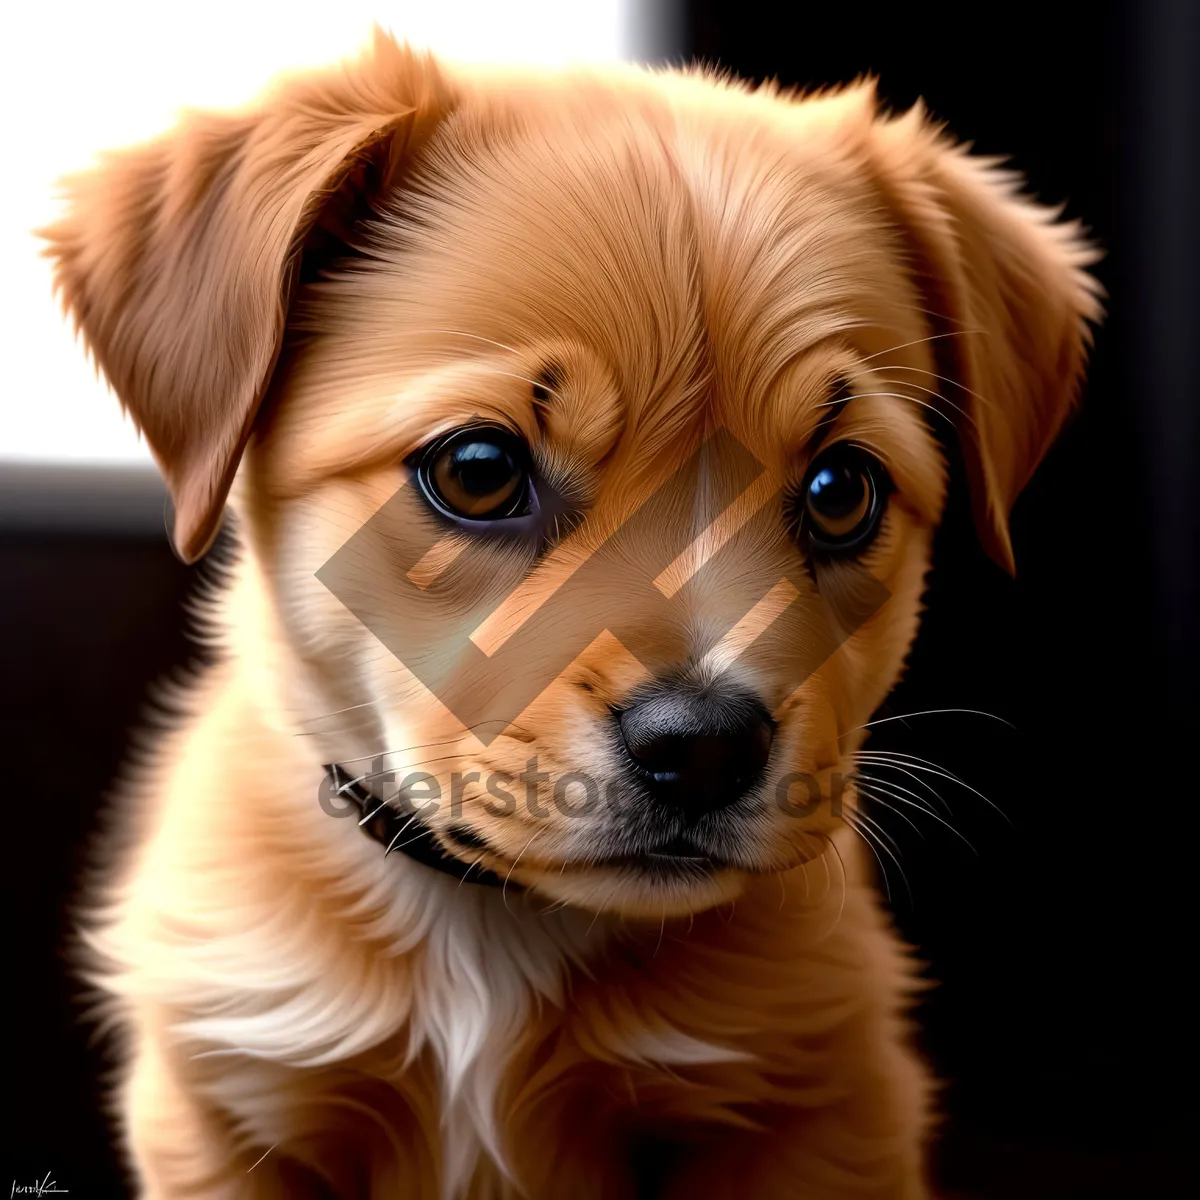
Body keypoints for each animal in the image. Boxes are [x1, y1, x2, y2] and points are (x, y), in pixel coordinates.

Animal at [46, 28, 1099, 1200]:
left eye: (841, 490)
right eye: (478, 471)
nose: (704, 748)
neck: (491, 937)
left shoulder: (816, 1111)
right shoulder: (230, 1114)